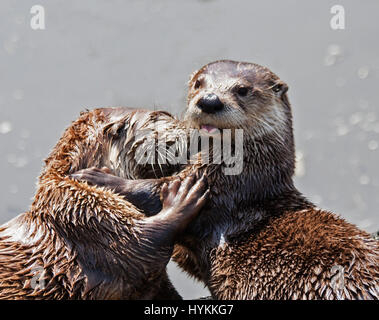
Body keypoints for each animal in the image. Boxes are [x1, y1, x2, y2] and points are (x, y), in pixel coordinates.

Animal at [76, 60, 379, 300]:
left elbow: (155, 193)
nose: (209, 100)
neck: (250, 173)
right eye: (199, 83)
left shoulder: (219, 189)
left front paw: (97, 177)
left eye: (242, 89)